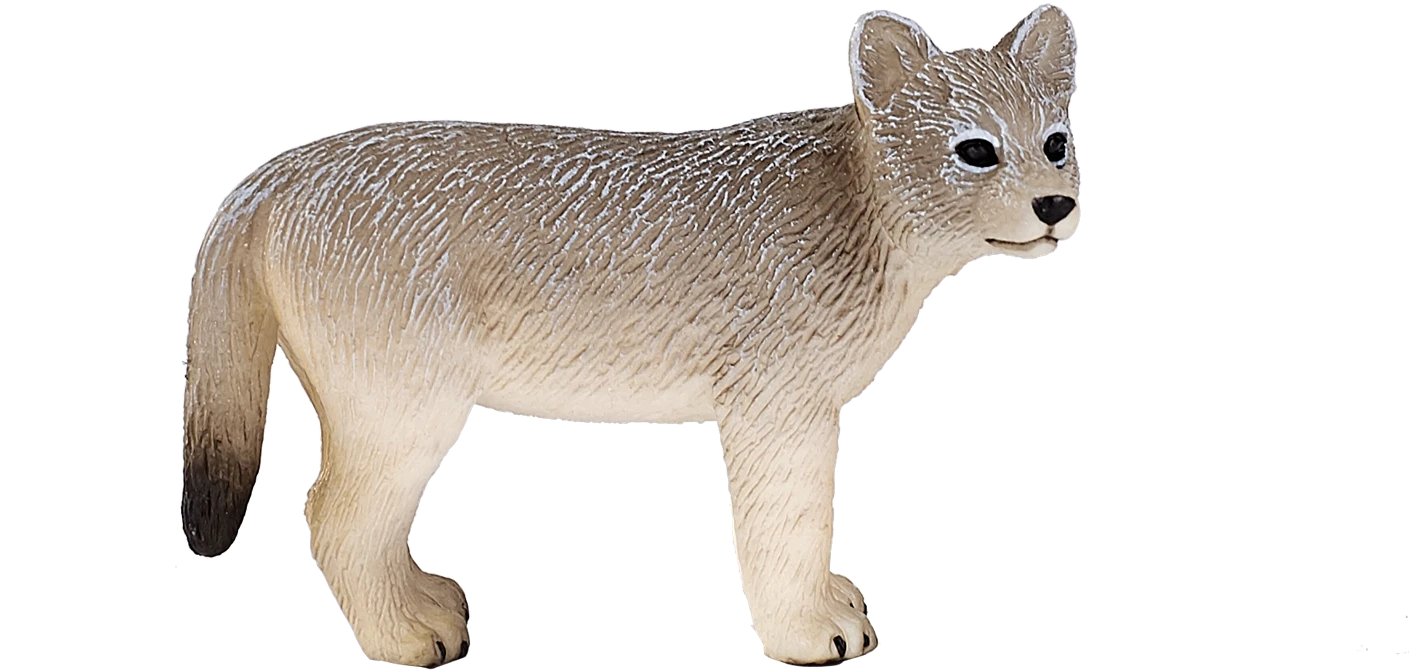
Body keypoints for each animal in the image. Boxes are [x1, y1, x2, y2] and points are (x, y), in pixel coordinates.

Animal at [180, 5, 1079, 665]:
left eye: (1055, 144)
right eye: (974, 151)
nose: (1056, 205)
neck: (861, 206)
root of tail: (279, 169)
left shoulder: (805, 411)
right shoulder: (774, 412)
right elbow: (785, 528)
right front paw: (806, 631)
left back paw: (427, 601)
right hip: (406, 416)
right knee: (333, 516)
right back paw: (404, 635)